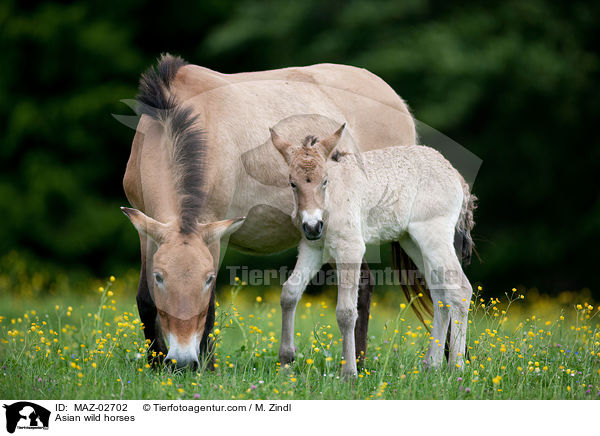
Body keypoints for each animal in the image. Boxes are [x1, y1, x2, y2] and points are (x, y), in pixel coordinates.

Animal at [122, 53, 420, 368]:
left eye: (207, 279)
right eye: (160, 277)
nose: (182, 361)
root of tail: (396, 102)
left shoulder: (216, 234)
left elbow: (211, 307)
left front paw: (207, 367)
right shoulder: (147, 231)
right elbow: (145, 300)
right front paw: (155, 364)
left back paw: (359, 364)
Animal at [270, 123, 476, 378]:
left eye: (325, 181)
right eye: (292, 183)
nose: (312, 225)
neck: (333, 200)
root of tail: (456, 175)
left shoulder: (350, 248)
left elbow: (346, 312)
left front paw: (349, 373)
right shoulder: (312, 248)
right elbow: (289, 292)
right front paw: (285, 362)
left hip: (434, 234)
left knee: (460, 288)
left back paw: (456, 369)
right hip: (413, 241)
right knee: (440, 294)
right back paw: (432, 366)